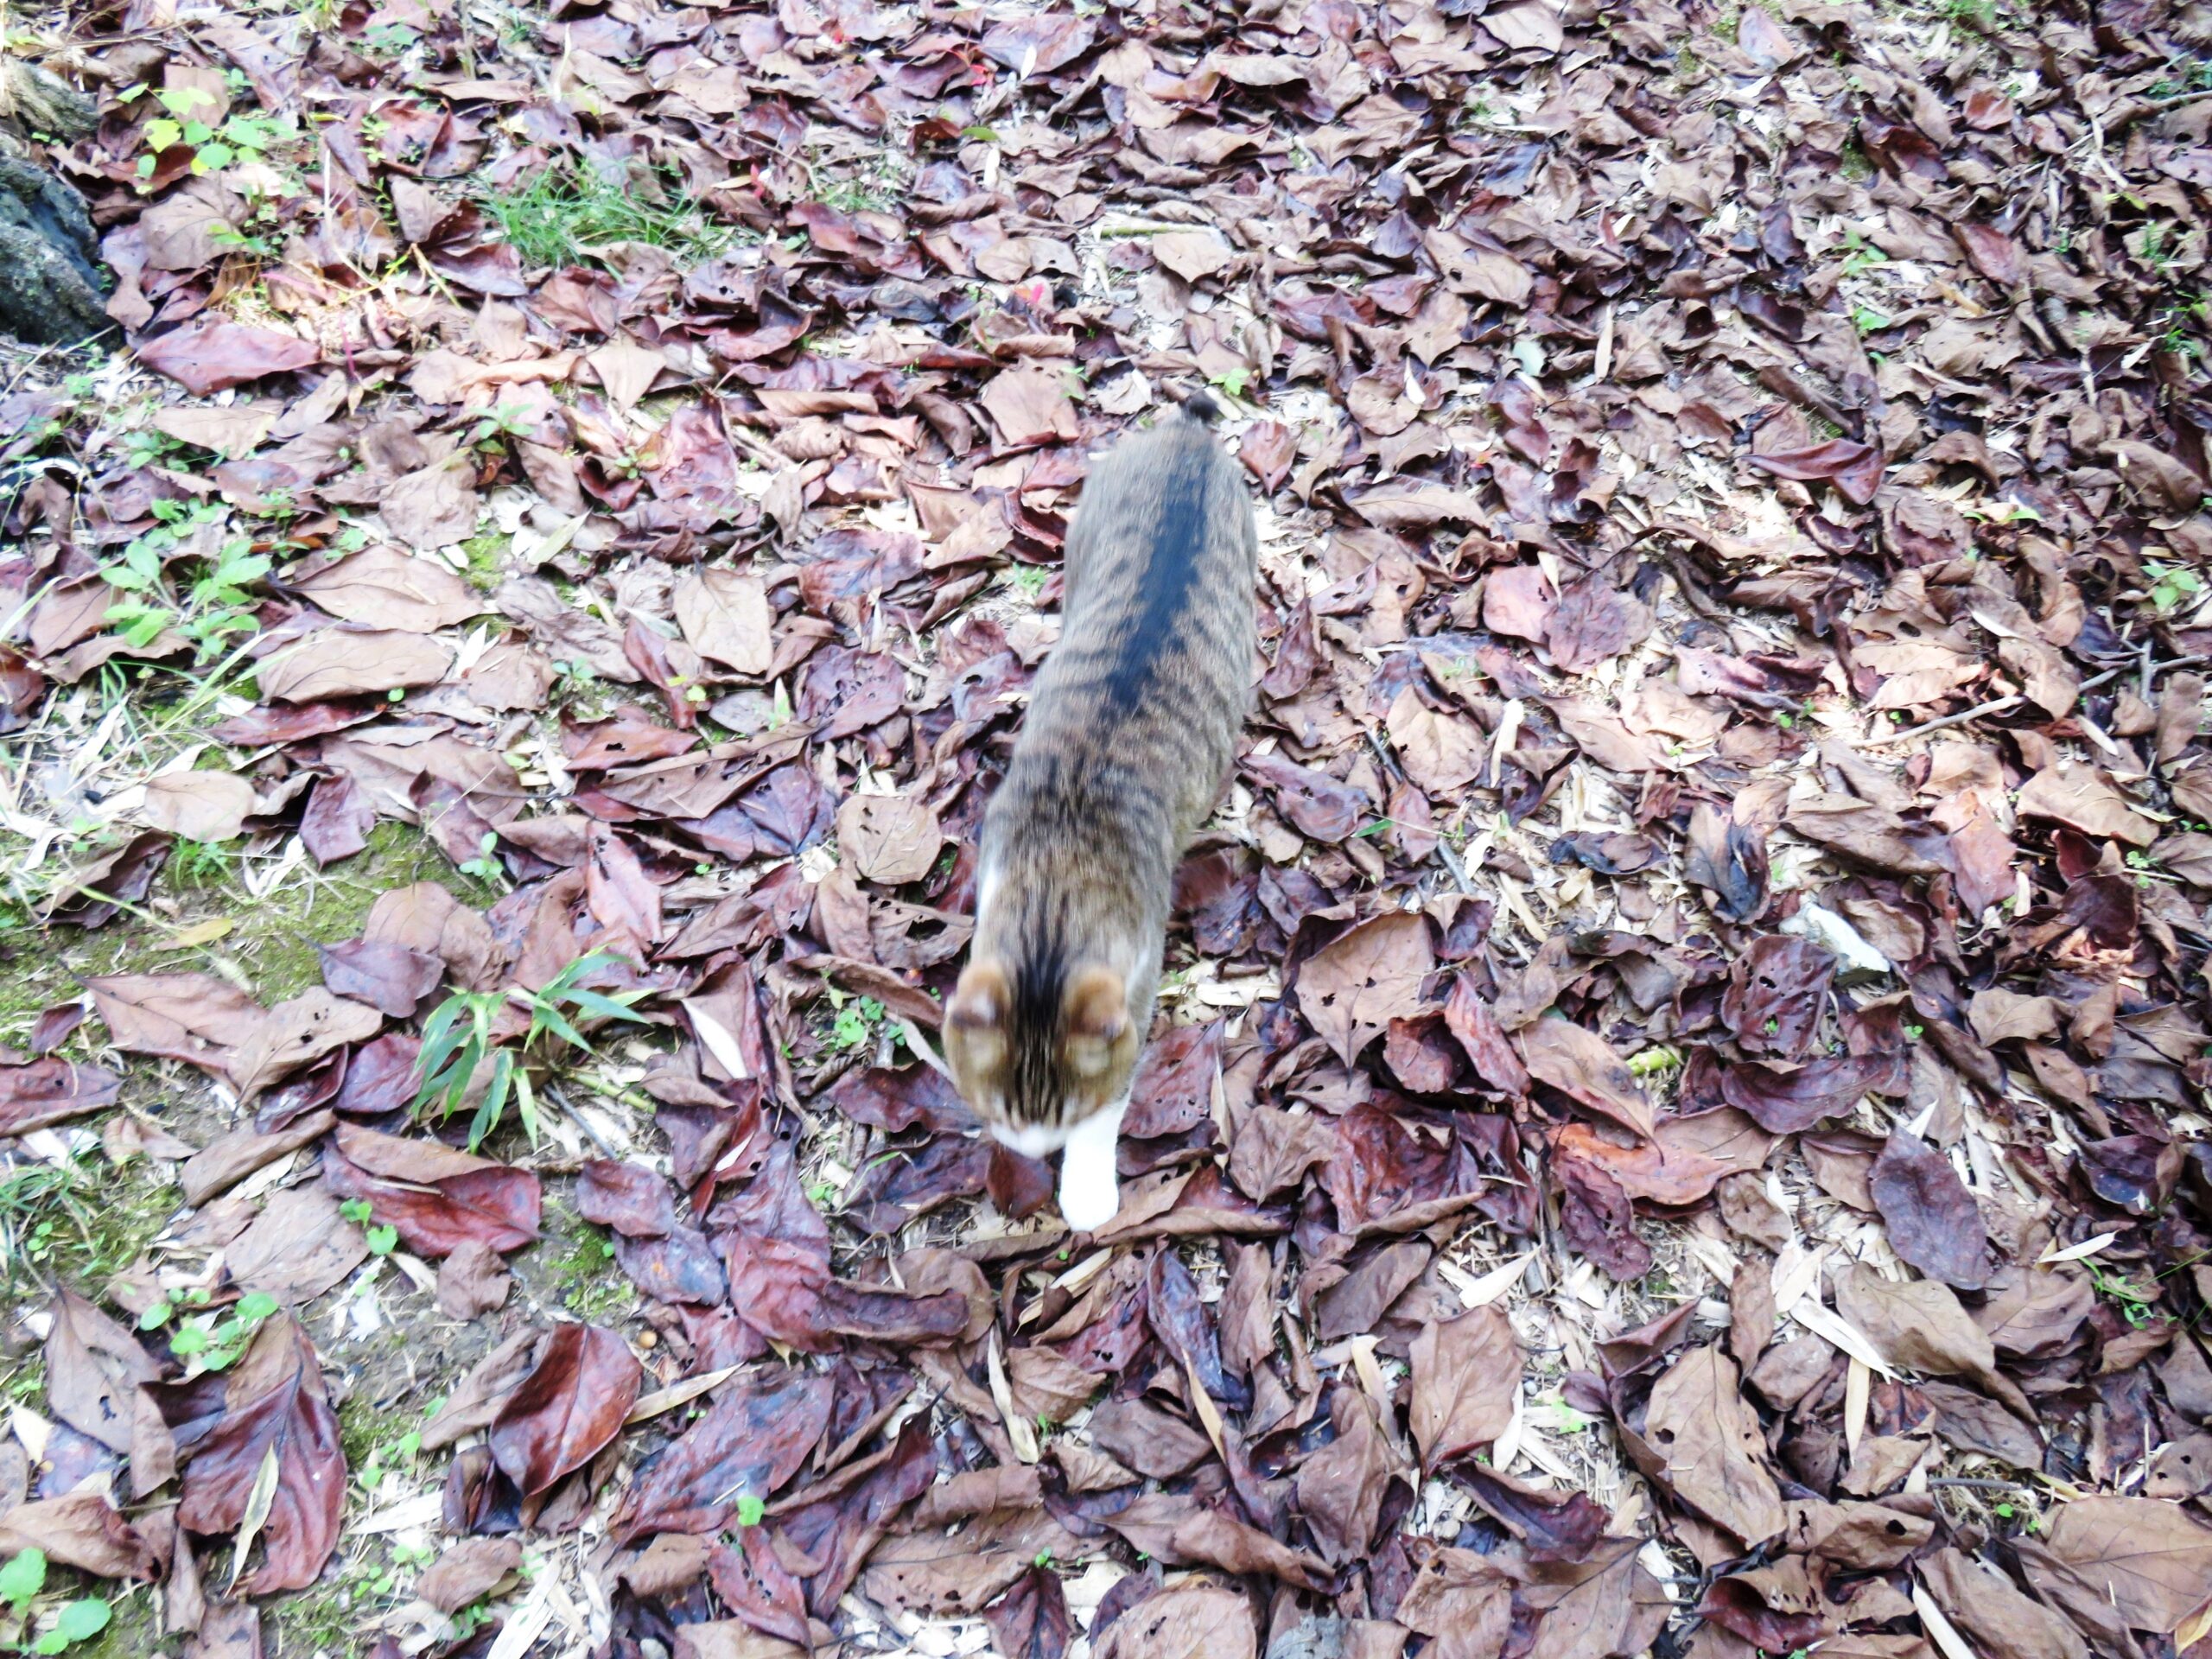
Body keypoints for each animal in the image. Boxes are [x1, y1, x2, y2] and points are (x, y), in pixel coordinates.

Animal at [942, 393, 1256, 1238]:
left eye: (1063, 1115)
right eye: (996, 1107)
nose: (1029, 1151)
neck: (1058, 881)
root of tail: (1189, 437)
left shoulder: (1136, 989)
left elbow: (1111, 1098)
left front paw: (1084, 1182)